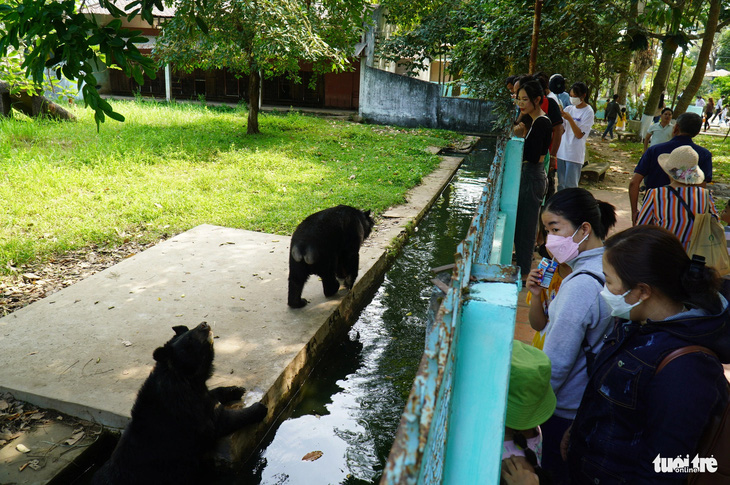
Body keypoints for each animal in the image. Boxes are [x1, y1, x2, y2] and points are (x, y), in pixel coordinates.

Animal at [91, 322, 268, 484]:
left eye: (191, 328)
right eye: (190, 337)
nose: (204, 324)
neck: (186, 378)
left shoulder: (198, 393)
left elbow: (213, 396)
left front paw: (237, 389)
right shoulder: (189, 412)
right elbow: (222, 420)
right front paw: (260, 408)